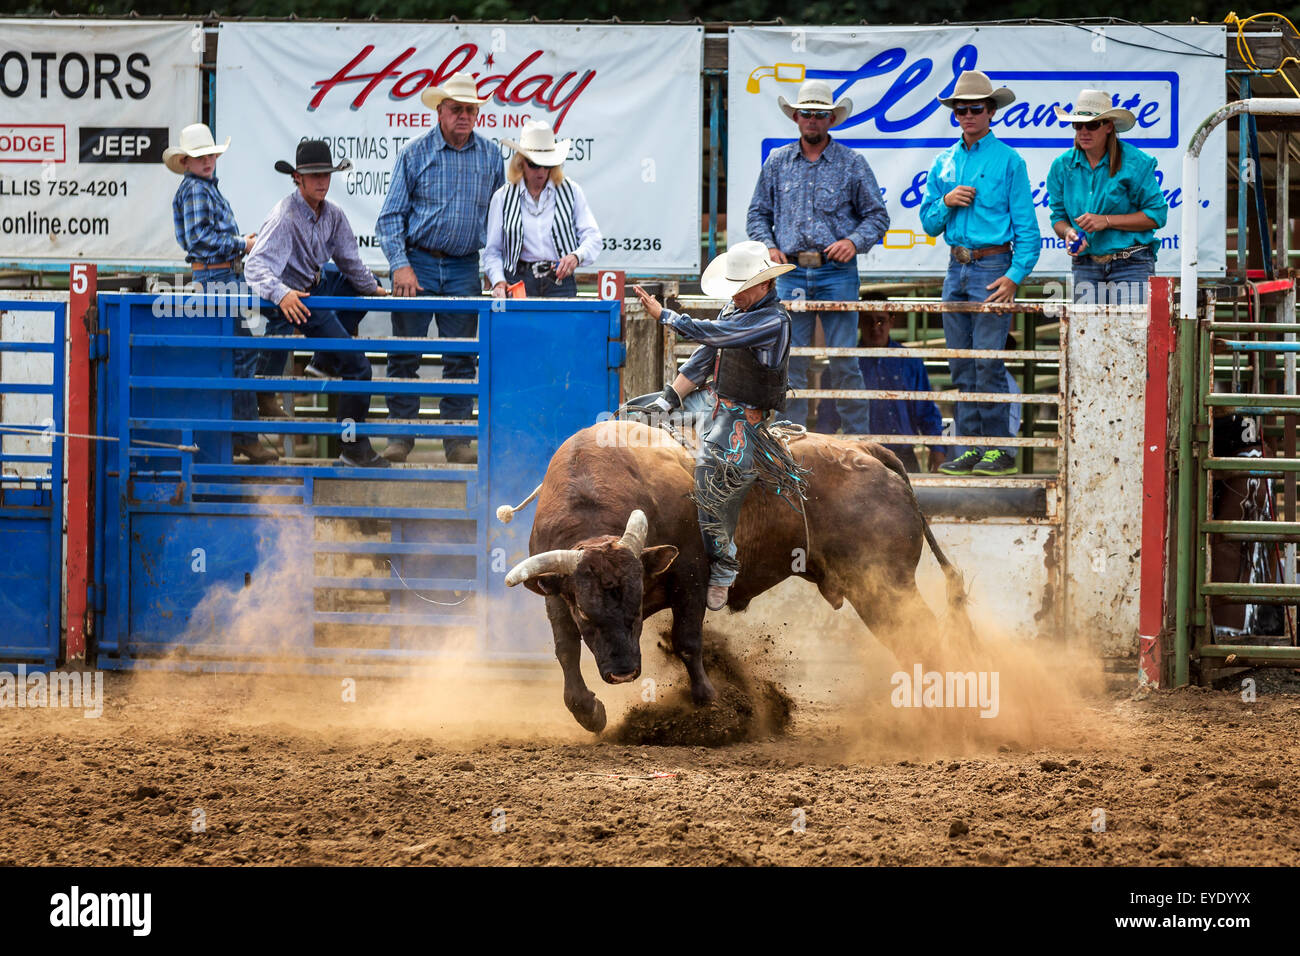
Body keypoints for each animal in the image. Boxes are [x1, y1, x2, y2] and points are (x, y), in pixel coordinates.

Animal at [501, 418, 972, 733]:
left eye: (636, 607)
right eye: (586, 613)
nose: (621, 673)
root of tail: (868, 450)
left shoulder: (690, 574)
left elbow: (688, 640)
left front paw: (708, 699)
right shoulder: (556, 594)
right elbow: (566, 651)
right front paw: (588, 710)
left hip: (885, 585)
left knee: (921, 636)